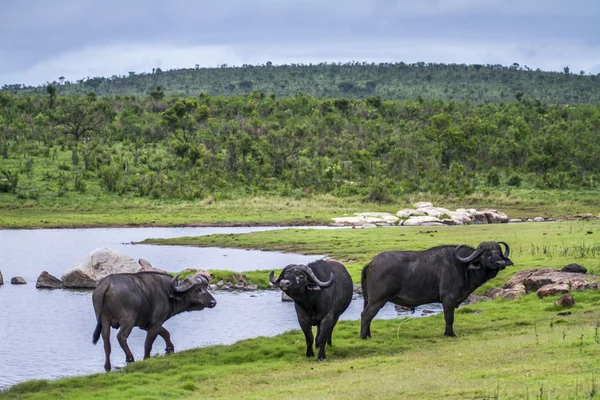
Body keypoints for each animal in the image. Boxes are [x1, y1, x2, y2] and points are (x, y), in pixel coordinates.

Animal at [358, 242, 512, 340]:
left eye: (498, 253)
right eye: (486, 254)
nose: (501, 263)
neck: (462, 266)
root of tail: (372, 263)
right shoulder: (448, 299)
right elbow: (449, 317)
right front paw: (450, 334)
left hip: (369, 300)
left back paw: (369, 335)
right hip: (378, 299)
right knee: (366, 315)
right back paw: (364, 337)